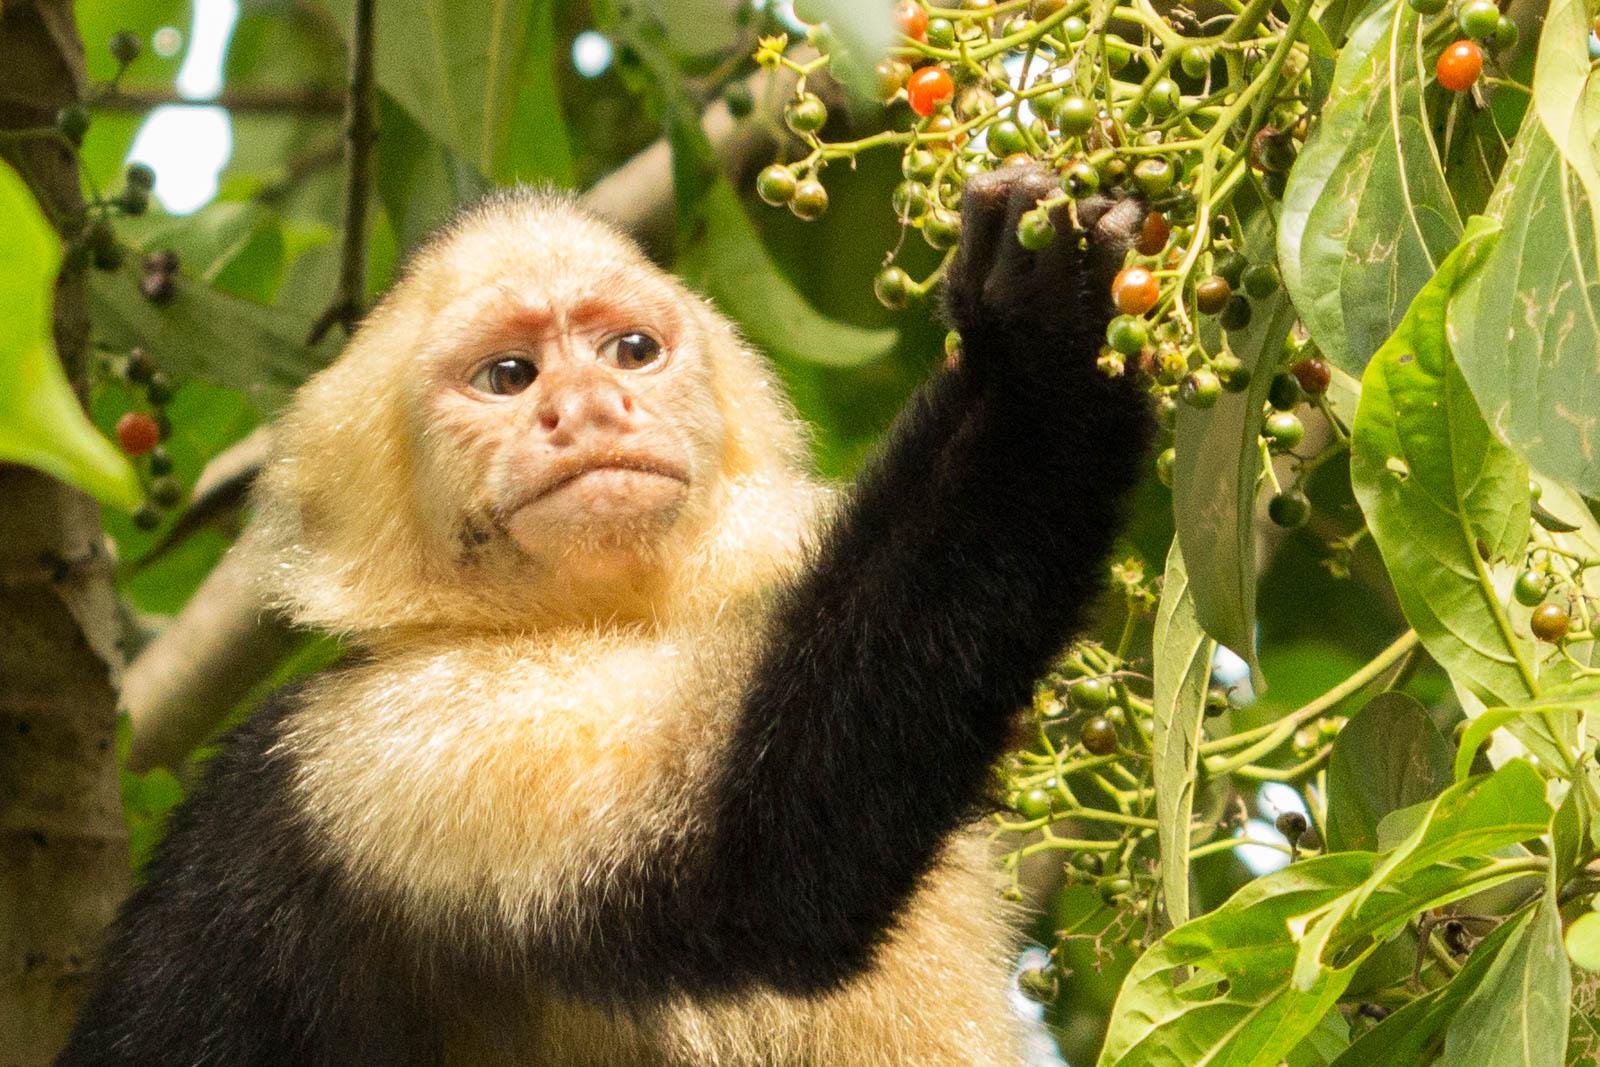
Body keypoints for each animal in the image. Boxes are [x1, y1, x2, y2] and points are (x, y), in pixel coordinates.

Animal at [59, 165, 1151, 1066]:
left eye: (630, 351)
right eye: (509, 377)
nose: (587, 408)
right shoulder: (388, 748)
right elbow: (762, 859)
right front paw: (1034, 345)